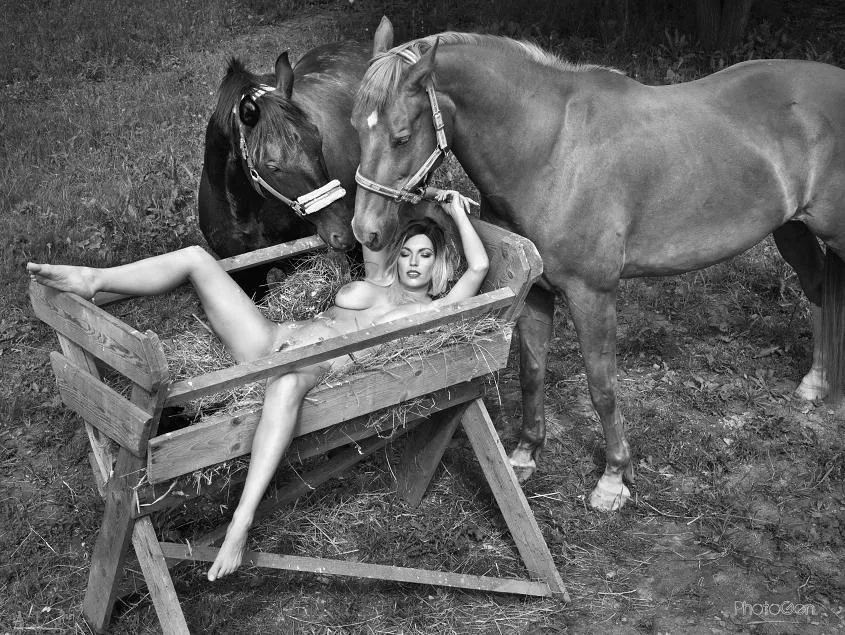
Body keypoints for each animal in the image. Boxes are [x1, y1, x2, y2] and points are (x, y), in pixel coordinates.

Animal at [350, 26, 845, 511]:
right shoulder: (537, 291)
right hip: (792, 229)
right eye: (355, 126)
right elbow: (532, 372)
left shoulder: (593, 294)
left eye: (401, 136)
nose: (365, 231)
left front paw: (613, 480)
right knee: (819, 288)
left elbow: (602, 387)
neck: (551, 151)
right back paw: (815, 384)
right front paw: (525, 455)